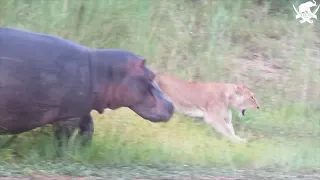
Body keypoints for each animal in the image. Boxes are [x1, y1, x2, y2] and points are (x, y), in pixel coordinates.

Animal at [0, 26, 174, 147]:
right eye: (151, 75)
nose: (172, 105)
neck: (103, 72)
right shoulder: (68, 116)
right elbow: (63, 136)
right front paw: (61, 152)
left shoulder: (82, 108)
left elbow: (89, 127)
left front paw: (82, 148)